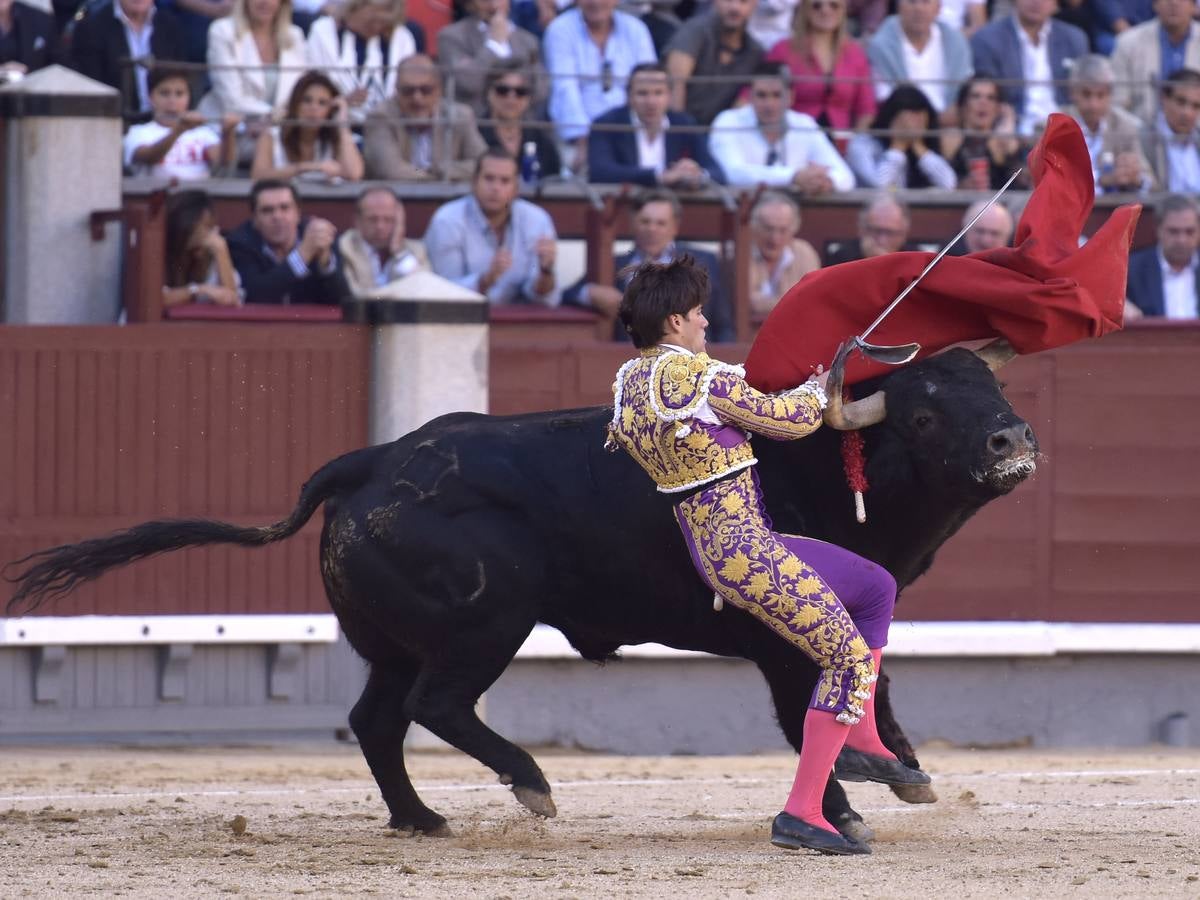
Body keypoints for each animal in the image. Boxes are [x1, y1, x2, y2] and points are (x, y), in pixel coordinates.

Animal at [0, 350, 1036, 840]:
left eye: (991, 389)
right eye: (926, 412)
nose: (1011, 442)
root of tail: (373, 459)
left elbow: (873, 684)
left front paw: (899, 775)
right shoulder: (783, 637)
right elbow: (822, 703)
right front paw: (856, 800)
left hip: (395, 637)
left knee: (377, 718)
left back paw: (421, 818)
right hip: (485, 622)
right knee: (438, 706)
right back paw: (530, 784)